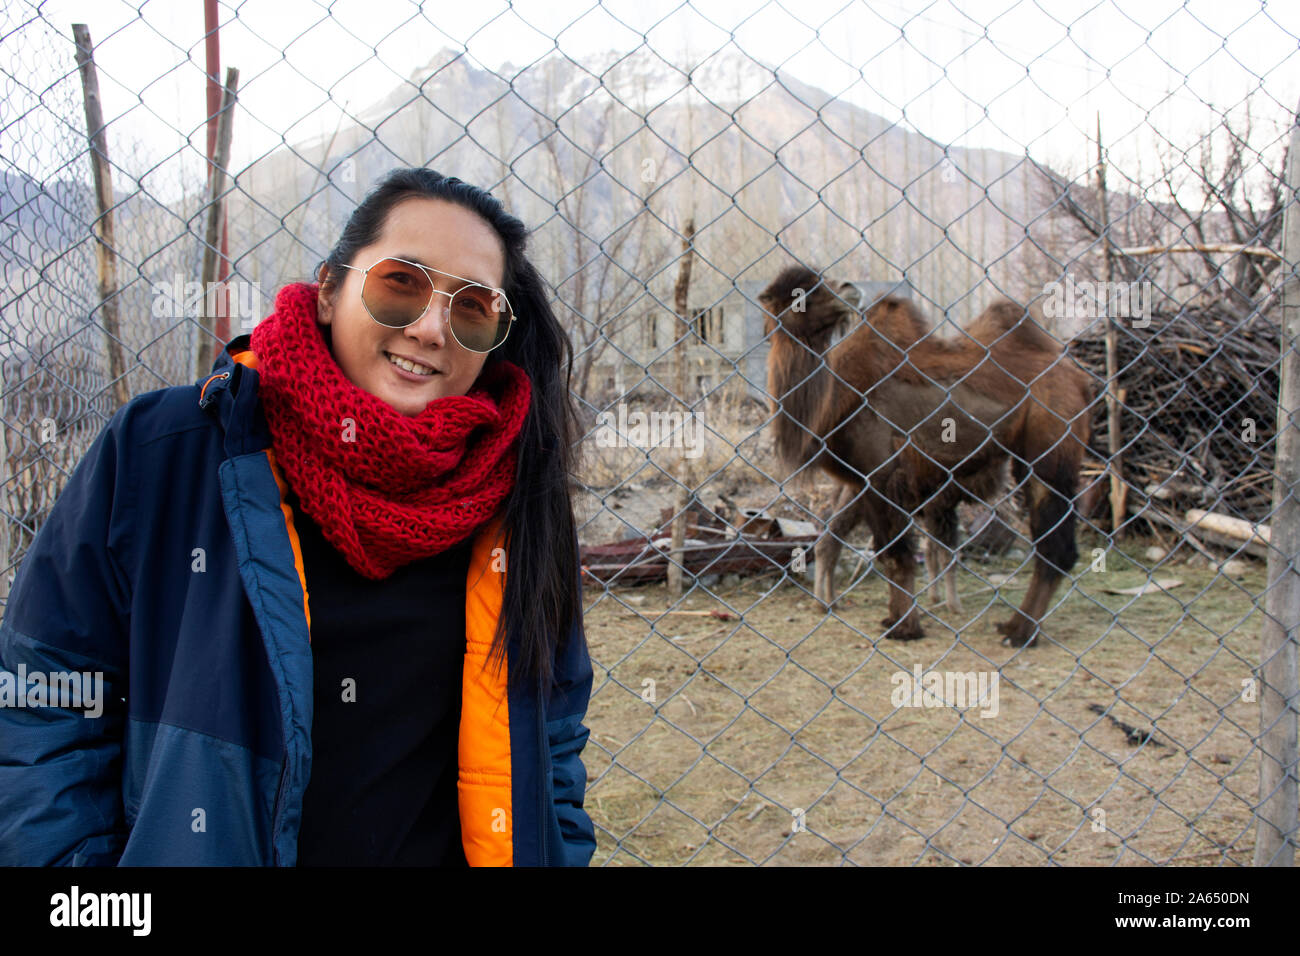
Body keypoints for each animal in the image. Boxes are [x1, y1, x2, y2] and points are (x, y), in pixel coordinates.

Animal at [759, 265, 1097, 647]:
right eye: (802, 292)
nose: (848, 288)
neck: (838, 398)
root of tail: (1080, 380)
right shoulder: (863, 481)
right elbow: (885, 551)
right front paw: (895, 619)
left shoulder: (884, 472)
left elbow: (897, 556)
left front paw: (904, 628)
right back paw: (1016, 628)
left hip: (1050, 445)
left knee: (1055, 544)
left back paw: (1019, 632)